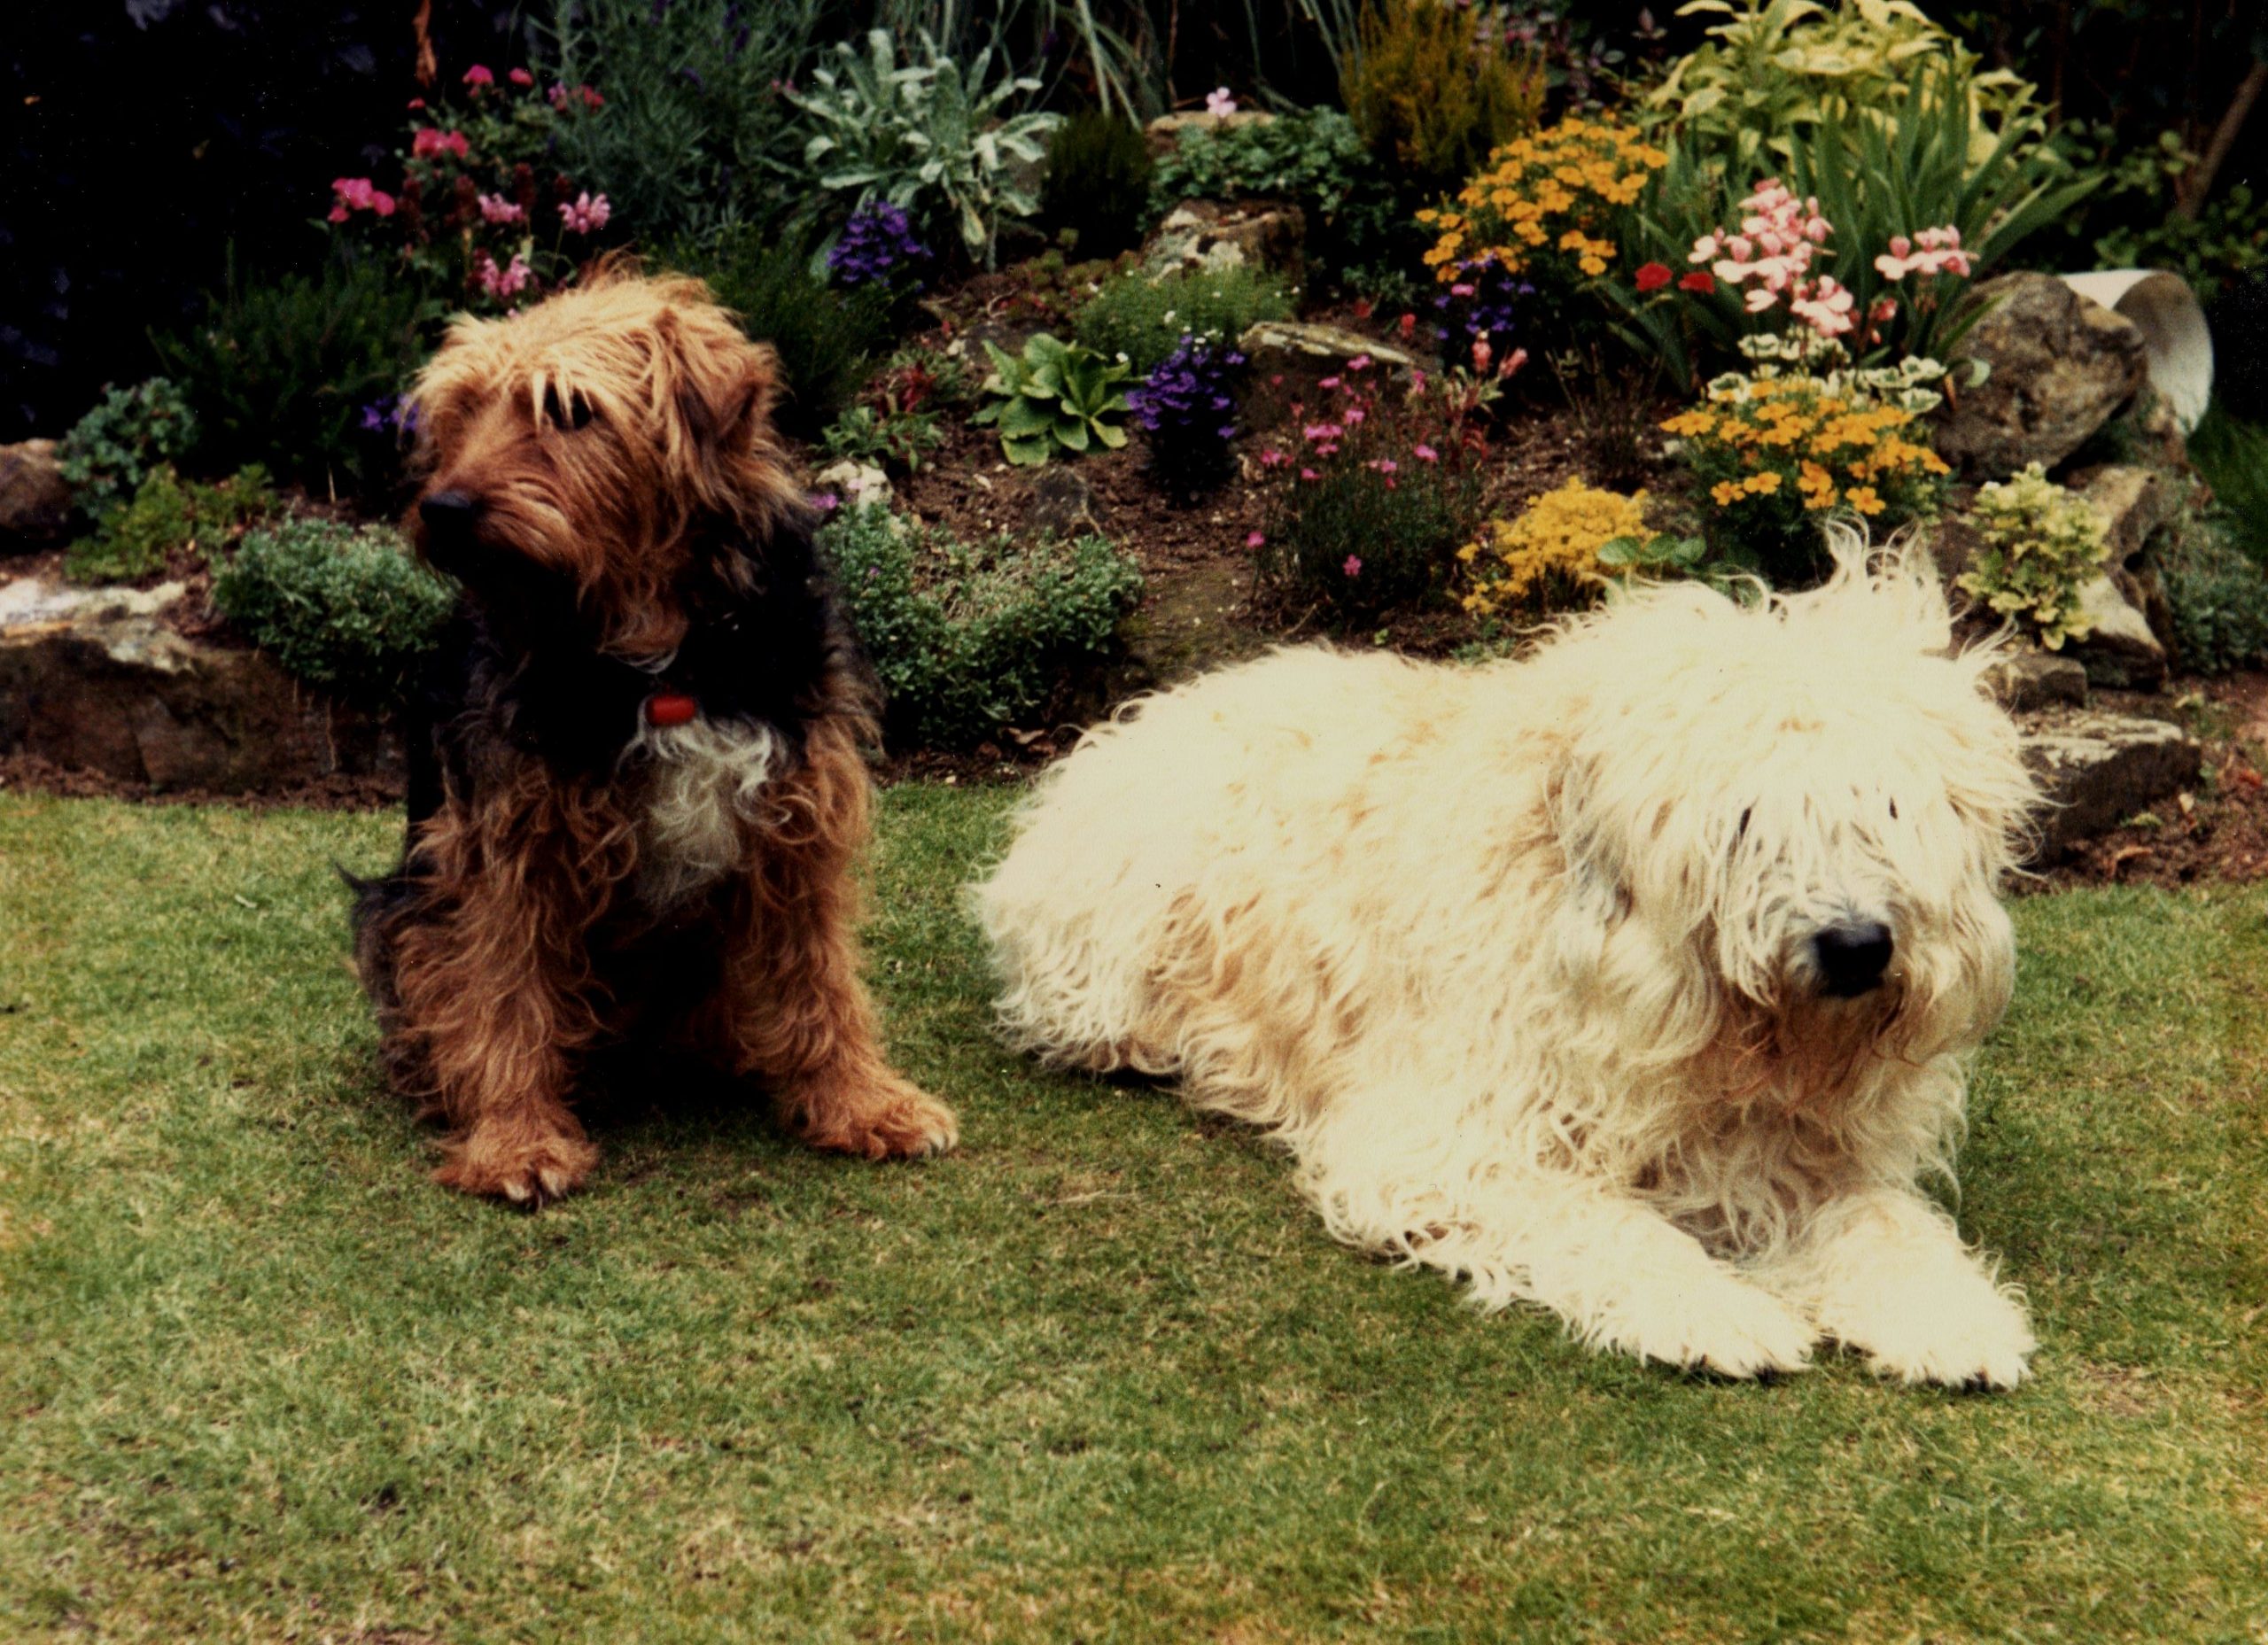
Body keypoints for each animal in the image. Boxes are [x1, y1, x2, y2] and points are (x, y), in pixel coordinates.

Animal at [353, 264, 956, 1205]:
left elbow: (820, 975)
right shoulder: (509, 847)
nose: (443, 508)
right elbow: (506, 990)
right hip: (402, 910)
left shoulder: (796, 822)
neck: (658, 654)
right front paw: (515, 1141)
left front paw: (863, 1102)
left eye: (569, 410)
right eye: (462, 412)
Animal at [976, 545, 2040, 1385]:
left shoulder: (1800, 1161)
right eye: (1745, 817)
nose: (1858, 946)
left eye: (1890, 809)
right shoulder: (1449, 1140)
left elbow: (1883, 1226)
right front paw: (1712, 1310)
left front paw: (1950, 1318)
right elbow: (1596, 1219)